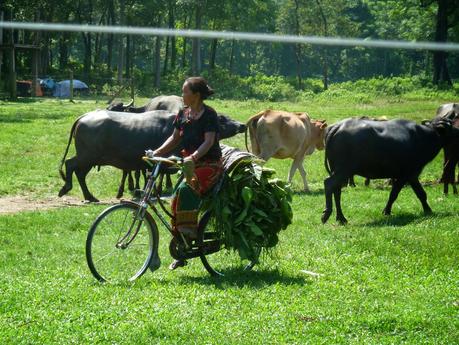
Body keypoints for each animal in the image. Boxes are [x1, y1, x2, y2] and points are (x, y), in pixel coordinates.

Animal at [58, 109, 248, 202]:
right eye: (221, 118)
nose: (242, 125)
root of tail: (84, 117)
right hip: (87, 156)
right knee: (70, 164)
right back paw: (66, 188)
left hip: (90, 159)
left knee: (80, 173)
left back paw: (89, 196)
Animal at [322, 115, 459, 224]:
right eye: (450, 126)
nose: (458, 131)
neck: (424, 137)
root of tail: (336, 127)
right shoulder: (410, 174)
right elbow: (416, 193)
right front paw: (428, 210)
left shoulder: (405, 176)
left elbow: (397, 194)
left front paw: (386, 211)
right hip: (343, 170)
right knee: (328, 183)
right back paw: (326, 214)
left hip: (339, 171)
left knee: (337, 190)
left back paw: (341, 218)